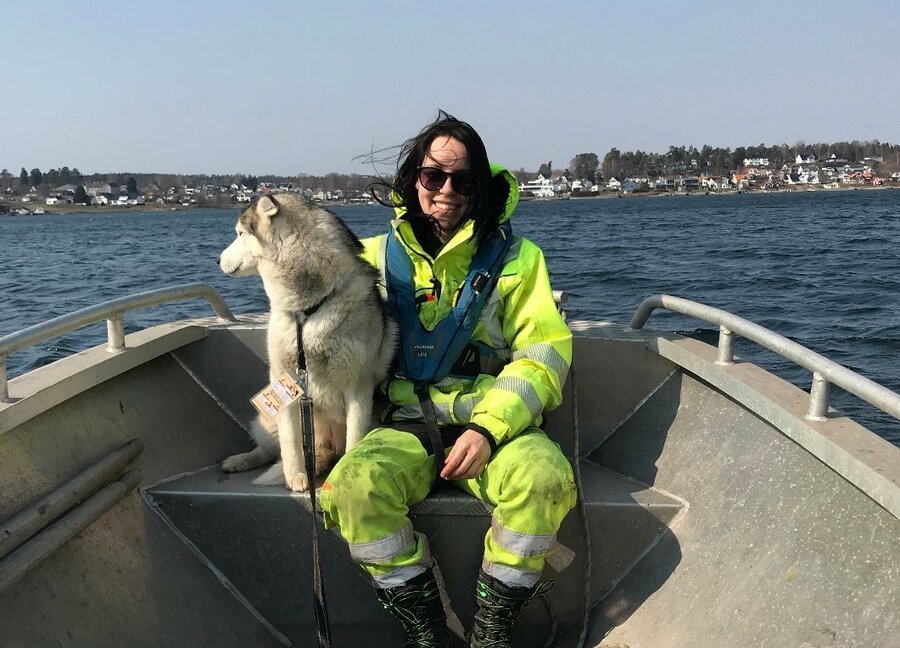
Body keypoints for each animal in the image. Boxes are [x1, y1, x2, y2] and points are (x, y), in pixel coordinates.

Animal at [218, 194, 398, 492]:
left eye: (240, 234)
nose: (217, 259)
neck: (307, 310)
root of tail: (324, 444)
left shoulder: (358, 385)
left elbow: (354, 439)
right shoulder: (284, 380)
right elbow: (290, 441)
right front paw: (295, 476)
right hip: (267, 420)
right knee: (269, 448)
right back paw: (242, 460)